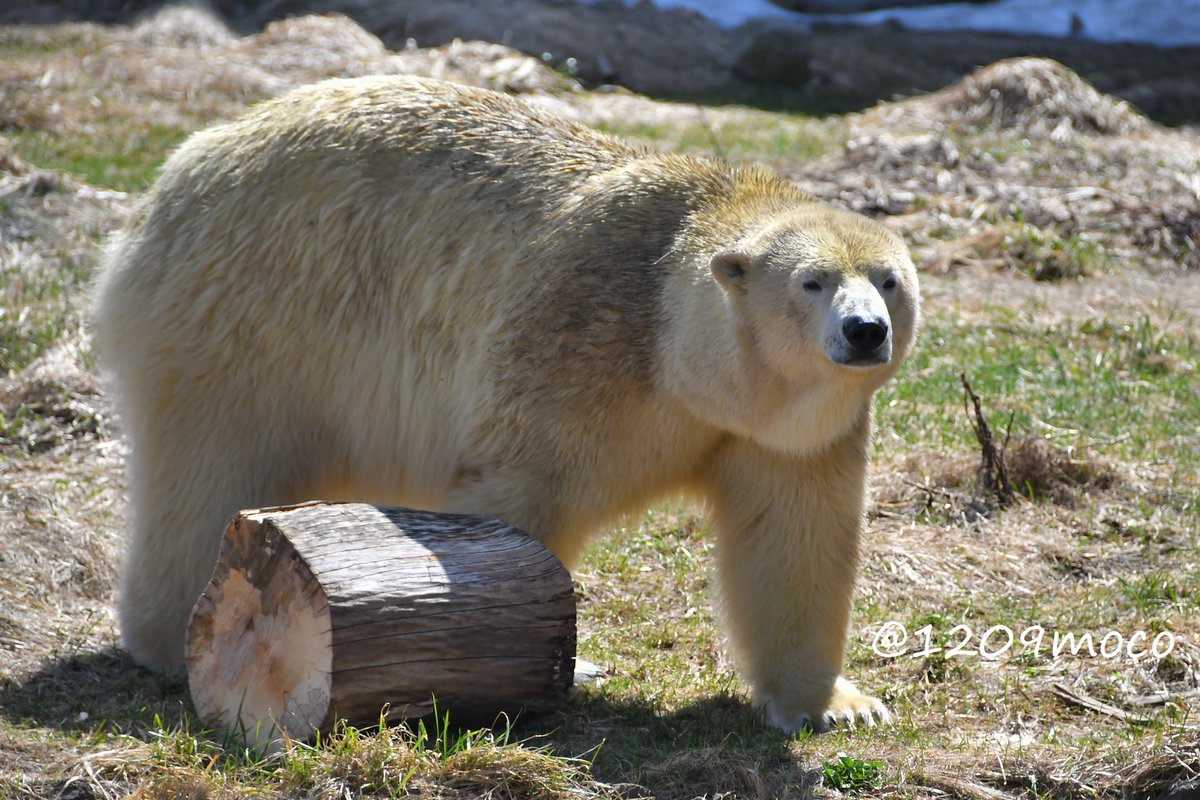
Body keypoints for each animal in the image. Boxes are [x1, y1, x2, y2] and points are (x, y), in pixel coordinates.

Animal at [93, 74, 916, 734]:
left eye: (889, 279)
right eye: (812, 280)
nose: (864, 330)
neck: (665, 335)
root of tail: (184, 164)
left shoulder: (786, 435)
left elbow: (793, 539)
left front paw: (836, 707)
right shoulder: (572, 352)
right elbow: (513, 514)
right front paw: (501, 665)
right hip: (253, 314)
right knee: (210, 469)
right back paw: (177, 641)